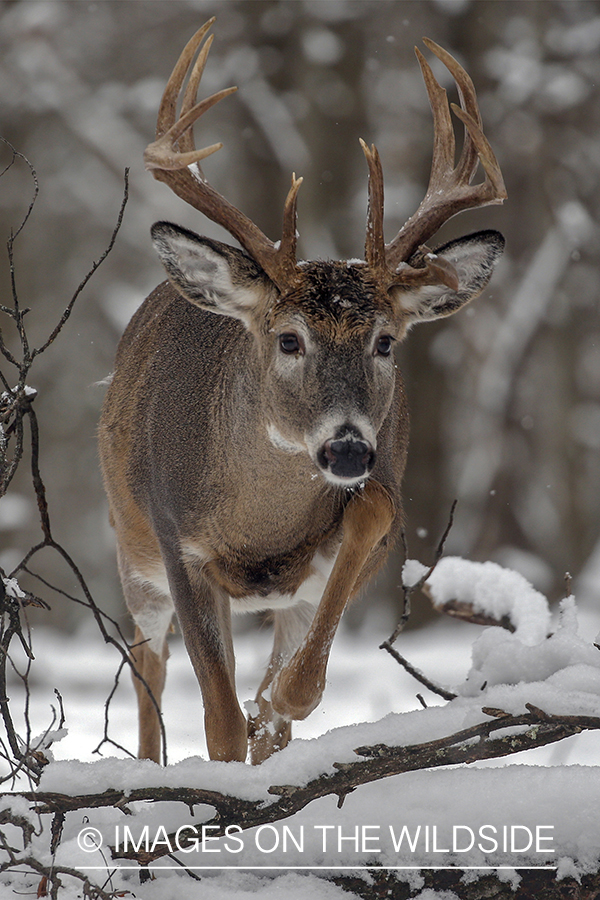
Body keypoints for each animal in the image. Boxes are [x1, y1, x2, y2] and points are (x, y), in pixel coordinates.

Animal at [98, 21, 506, 764]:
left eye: (386, 342)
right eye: (288, 340)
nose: (347, 450)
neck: (258, 536)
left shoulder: (354, 546)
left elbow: (289, 690)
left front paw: (279, 706)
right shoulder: (177, 545)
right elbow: (219, 722)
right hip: (131, 548)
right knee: (149, 659)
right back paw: (147, 764)